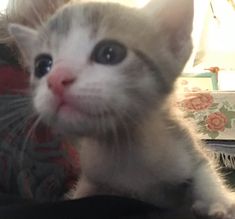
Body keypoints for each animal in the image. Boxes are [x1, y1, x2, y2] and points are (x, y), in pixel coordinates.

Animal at [8, 0, 235, 218]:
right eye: (42, 65)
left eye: (109, 53)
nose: (56, 79)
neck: (124, 149)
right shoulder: (92, 175)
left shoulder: (181, 141)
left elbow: (204, 171)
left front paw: (218, 202)